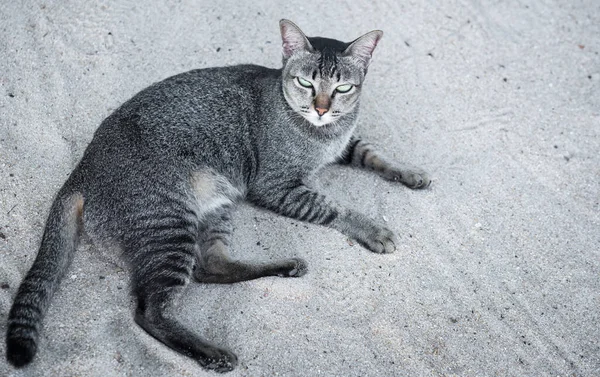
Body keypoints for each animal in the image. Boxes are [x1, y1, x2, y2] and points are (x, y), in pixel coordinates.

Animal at [4, 19, 428, 370]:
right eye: (306, 83)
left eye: (342, 87)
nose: (321, 109)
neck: (324, 134)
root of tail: (83, 168)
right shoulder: (277, 186)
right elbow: (334, 208)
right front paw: (373, 229)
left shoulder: (344, 144)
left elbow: (371, 153)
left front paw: (410, 172)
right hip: (170, 222)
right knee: (149, 310)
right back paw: (211, 353)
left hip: (215, 206)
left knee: (211, 266)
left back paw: (283, 267)